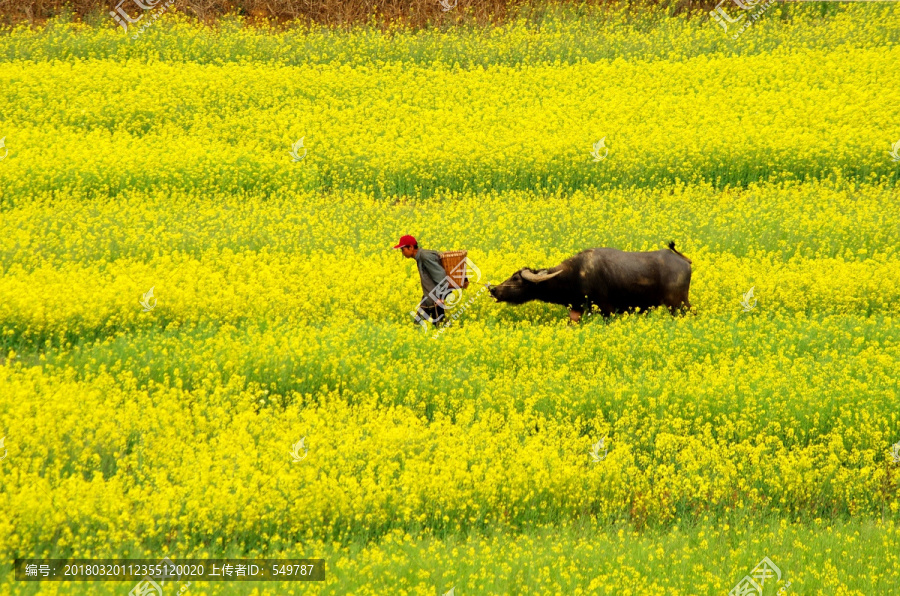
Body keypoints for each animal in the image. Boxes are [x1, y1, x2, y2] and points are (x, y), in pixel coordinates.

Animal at [488, 241, 692, 322]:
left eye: (516, 278)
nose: (493, 289)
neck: (574, 275)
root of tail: (684, 262)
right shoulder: (577, 310)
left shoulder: (607, 309)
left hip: (678, 304)